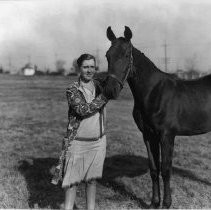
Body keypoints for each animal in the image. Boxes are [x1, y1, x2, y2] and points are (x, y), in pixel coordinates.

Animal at [105, 26, 211, 208]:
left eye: (126, 54)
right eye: (107, 55)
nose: (111, 90)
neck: (154, 92)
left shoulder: (166, 135)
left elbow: (166, 170)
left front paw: (167, 203)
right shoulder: (148, 135)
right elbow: (154, 169)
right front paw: (154, 202)